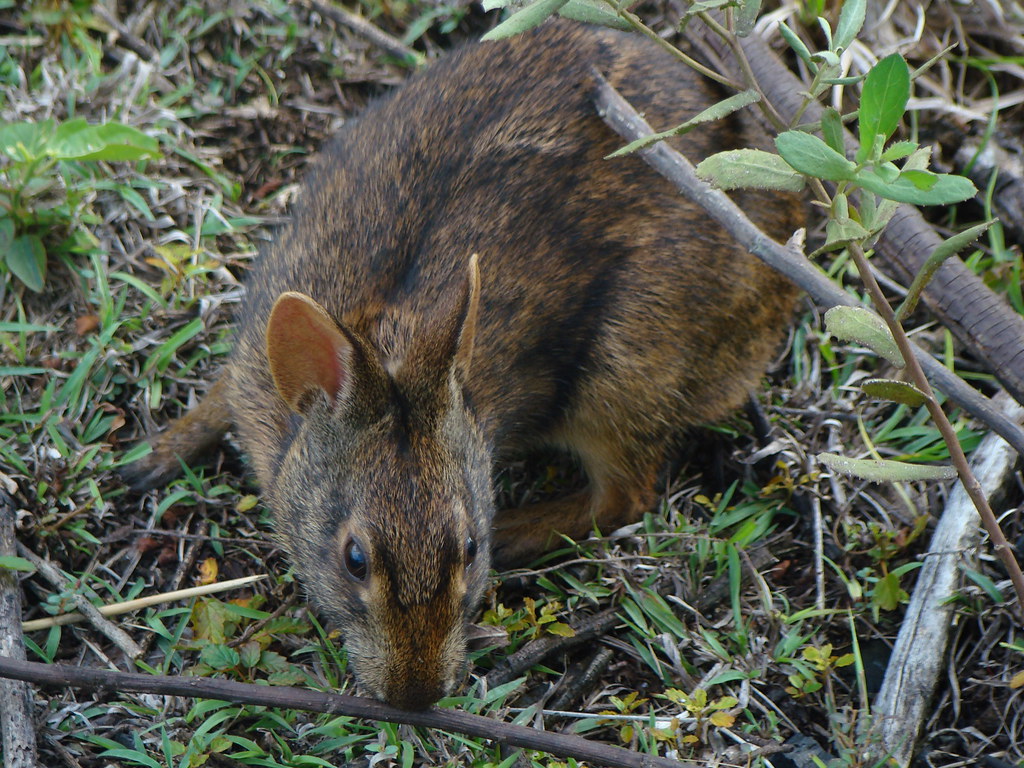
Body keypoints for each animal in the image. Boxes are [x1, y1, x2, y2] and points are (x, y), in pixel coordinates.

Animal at [122, 19, 800, 710]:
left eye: (469, 548)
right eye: (354, 560)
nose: (415, 696)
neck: (388, 342)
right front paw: (152, 457)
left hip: (622, 369)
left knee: (625, 494)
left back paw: (522, 529)